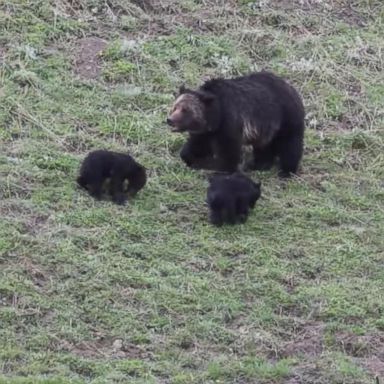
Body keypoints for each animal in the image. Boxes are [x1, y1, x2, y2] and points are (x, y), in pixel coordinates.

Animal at [168, 71, 306, 178]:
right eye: (175, 107)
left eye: (185, 110)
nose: (169, 120)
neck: (216, 115)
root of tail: (292, 88)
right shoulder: (207, 132)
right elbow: (197, 146)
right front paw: (192, 159)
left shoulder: (229, 122)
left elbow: (229, 152)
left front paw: (224, 171)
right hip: (266, 129)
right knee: (264, 147)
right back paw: (259, 164)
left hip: (285, 117)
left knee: (290, 144)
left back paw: (286, 171)